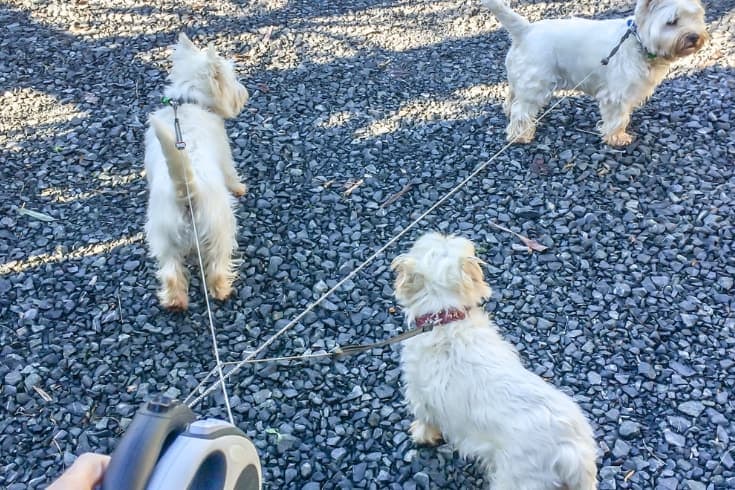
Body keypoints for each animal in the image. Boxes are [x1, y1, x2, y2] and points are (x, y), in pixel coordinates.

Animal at [144, 33, 250, 310]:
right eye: (232, 77)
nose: (244, 93)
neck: (187, 100)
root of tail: (185, 191)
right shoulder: (225, 152)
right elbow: (231, 174)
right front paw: (240, 188)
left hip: (163, 235)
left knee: (170, 271)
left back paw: (175, 302)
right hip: (220, 225)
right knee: (217, 263)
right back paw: (222, 289)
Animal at [394, 234, 600, 490]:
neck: (446, 320)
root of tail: (570, 451)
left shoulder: (419, 394)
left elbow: (425, 420)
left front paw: (421, 435)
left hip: (516, 479)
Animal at [484, 0, 708, 145]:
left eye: (696, 17)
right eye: (672, 21)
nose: (694, 37)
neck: (638, 42)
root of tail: (525, 30)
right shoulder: (616, 93)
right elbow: (618, 117)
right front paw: (617, 138)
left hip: (521, 77)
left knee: (513, 97)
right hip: (537, 81)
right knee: (521, 109)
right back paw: (520, 135)